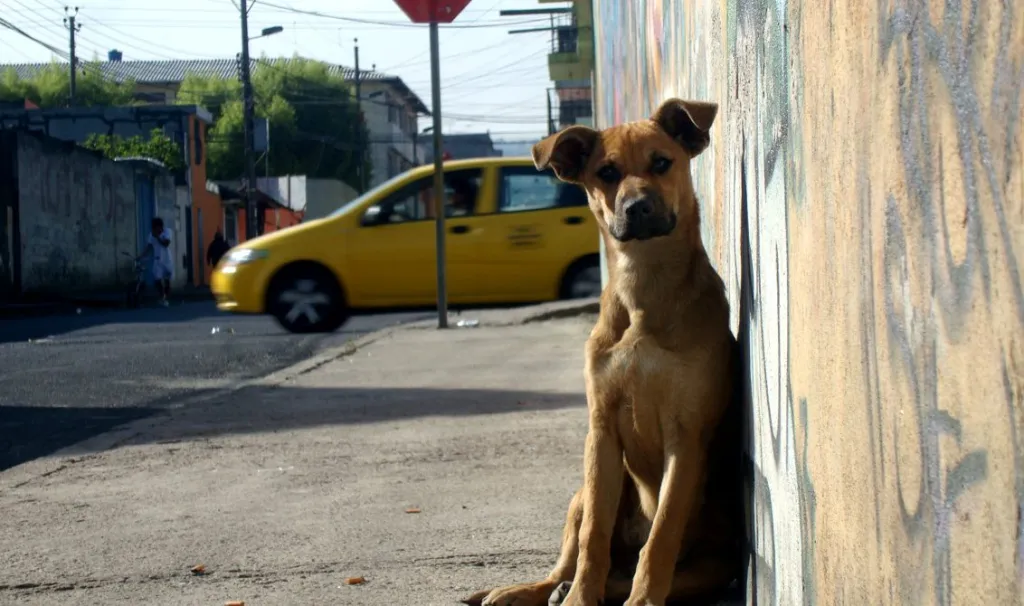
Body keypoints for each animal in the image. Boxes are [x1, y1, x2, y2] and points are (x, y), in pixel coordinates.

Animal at [464, 100, 745, 606]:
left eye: (661, 162)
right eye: (606, 172)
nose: (637, 207)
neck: (643, 289)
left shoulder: (687, 437)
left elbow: (662, 535)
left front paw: (643, 599)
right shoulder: (601, 433)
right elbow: (594, 532)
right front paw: (580, 597)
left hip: (713, 565)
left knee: (639, 566)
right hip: (578, 491)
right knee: (570, 559)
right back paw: (533, 590)